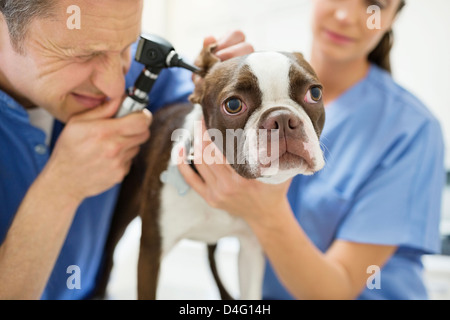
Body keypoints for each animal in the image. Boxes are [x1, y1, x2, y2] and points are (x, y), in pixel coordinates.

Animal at [96, 46, 326, 298]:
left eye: (315, 93)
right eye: (233, 105)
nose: (282, 119)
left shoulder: (251, 249)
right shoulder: (151, 252)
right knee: (108, 255)